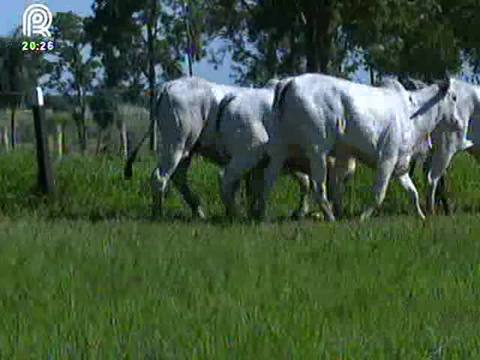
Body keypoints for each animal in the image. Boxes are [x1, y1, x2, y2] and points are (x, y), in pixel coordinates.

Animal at [253, 73, 470, 221]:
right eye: (454, 98)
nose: (459, 122)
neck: (411, 112)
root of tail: (289, 82)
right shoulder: (387, 158)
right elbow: (378, 193)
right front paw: (363, 217)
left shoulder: (399, 164)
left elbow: (412, 192)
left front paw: (421, 216)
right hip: (317, 150)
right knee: (318, 185)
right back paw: (330, 216)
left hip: (280, 149)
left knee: (267, 180)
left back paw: (261, 216)